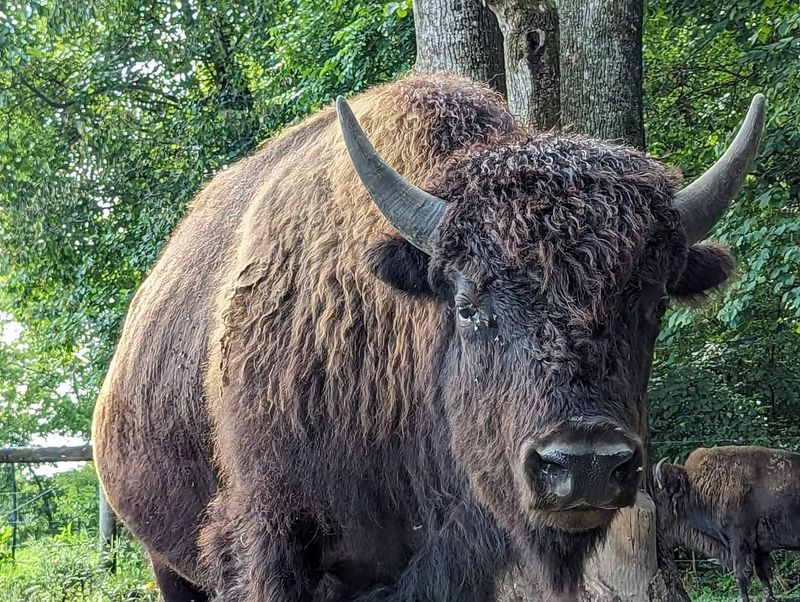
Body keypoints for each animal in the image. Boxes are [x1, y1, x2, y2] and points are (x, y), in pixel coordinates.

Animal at [92, 74, 764, 601]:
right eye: (467, 305)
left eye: (653, 305)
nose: (586, 464)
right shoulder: (268, 538)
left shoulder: (455, 558)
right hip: (167, 560)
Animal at [654, 446, 800, 602]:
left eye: (661, 494)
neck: (697, 488)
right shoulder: (758, 547)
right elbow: (762, 573)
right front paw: (769, 598)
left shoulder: (739, 541)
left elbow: (741, 574)